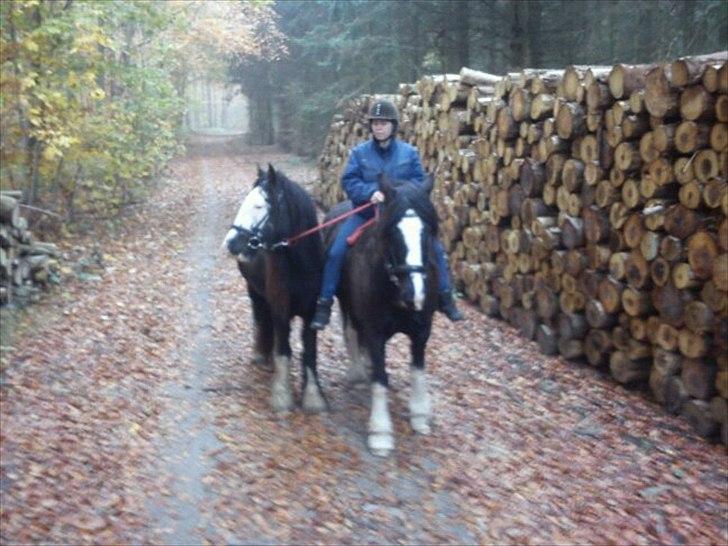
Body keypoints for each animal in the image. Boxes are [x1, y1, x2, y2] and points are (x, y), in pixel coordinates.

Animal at [222, 164, 324, 410]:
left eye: (259, 205)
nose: (230, 242)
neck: (300, 266)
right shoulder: (280, 308)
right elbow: (284, 350)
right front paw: (282, 396)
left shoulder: (311, 312)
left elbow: (310, 352)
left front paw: (313, 398)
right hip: (255, 293)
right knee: (262, 319)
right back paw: (263, 356)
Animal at [326, 175, 438, 454]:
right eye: (392, 232)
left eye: (428, 232)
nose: (414, 294)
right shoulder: (375, 331)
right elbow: (380, 379)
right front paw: (380, 433)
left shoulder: (422, 331)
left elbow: (417, 371)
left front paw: (420, 417)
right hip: (345, 303)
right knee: (351, 332)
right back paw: (357, 373)